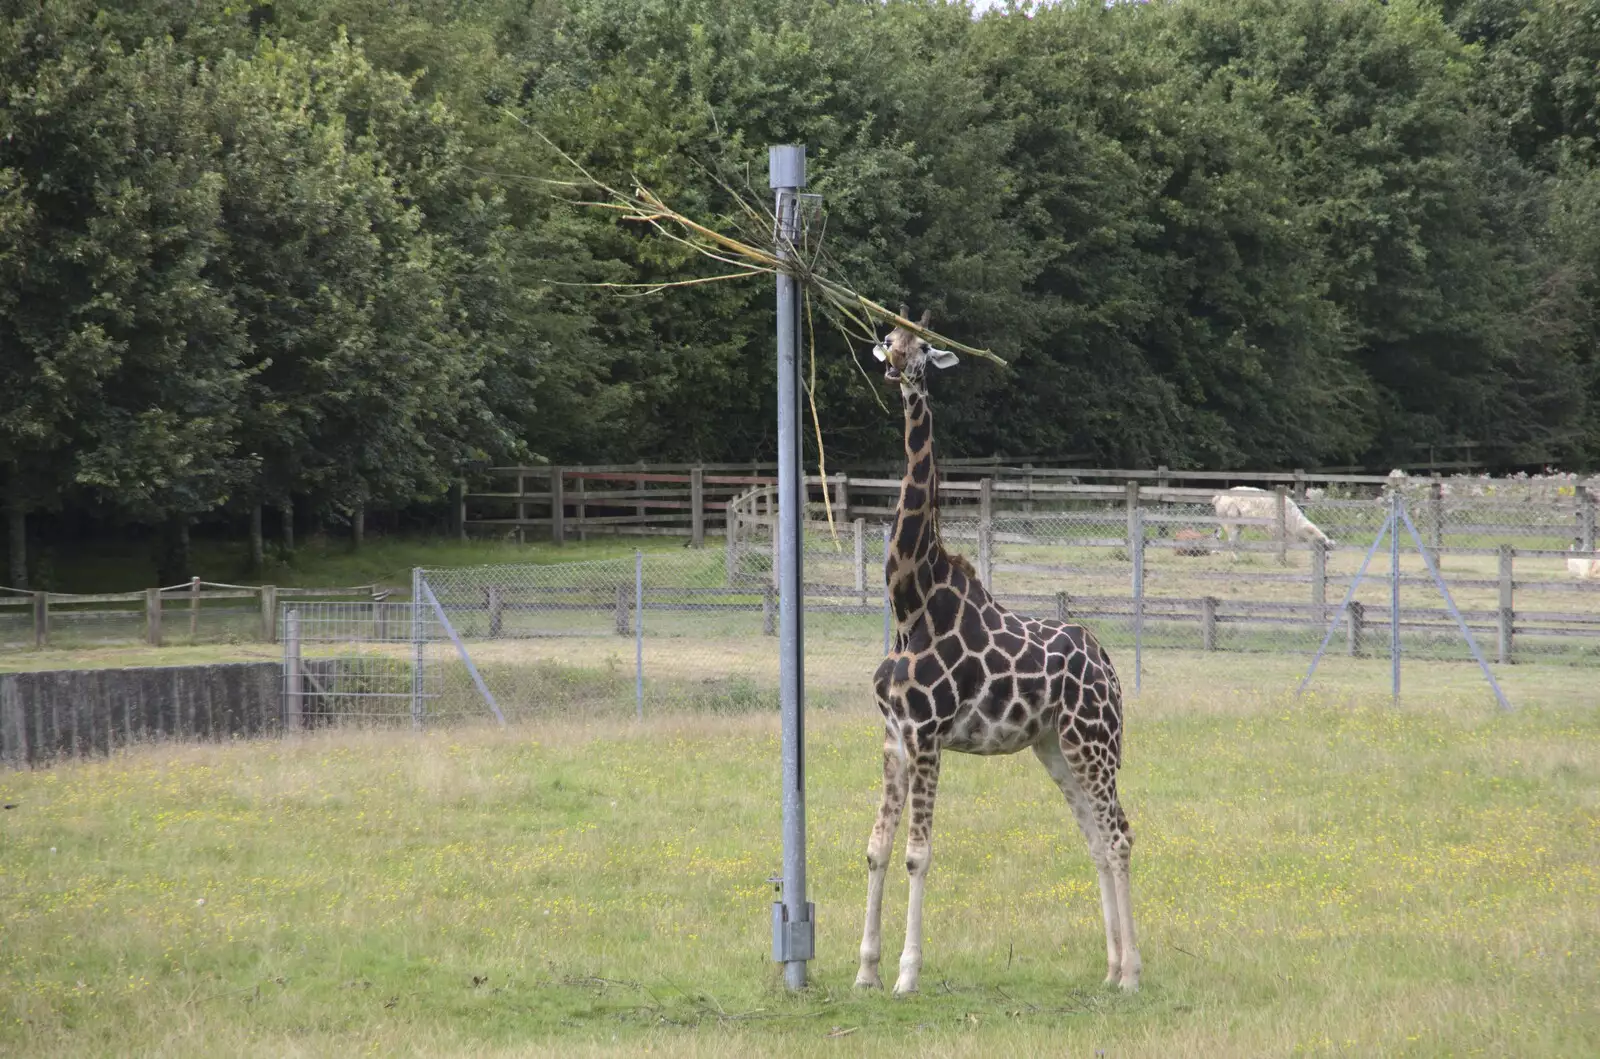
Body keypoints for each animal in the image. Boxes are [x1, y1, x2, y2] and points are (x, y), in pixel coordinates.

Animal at [851, 307, 1139, 998]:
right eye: (889, 339)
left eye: (922, 346)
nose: (895, 367)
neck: (910, 602)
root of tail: (1109, 667)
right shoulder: (892, 735)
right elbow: (876, 847)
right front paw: (865, 970)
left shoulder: (926, 733)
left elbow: (918, 854)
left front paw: (906, 976)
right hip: (1055, 746)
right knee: (1095, 837)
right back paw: (1111, 969)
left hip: (1095, 741)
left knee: (1119, 833)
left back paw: (1133, 975)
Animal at [1209, 486, 1337, 559]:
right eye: (1325, 548)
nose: (1328, 557)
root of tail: (1218, 497)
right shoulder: (1274, 528)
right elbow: (1277, 542)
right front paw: (1277, 558)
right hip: (1231, 520)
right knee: (1232, 539)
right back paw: (1236, 558)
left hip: (1238, 523)